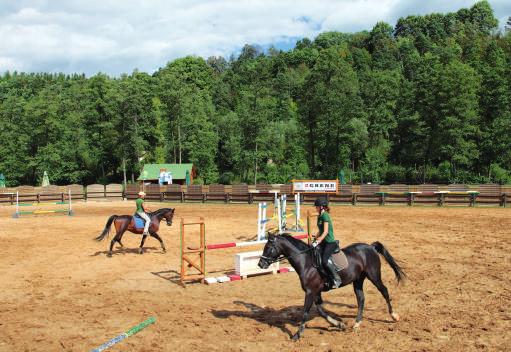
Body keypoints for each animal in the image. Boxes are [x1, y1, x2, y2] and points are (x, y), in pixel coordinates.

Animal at [258, 234, 406, 340]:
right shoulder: (316, 292)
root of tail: (370, 247)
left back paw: (394, 316)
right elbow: (321, 311)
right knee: (361, 299)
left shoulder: (310, 292)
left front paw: (297, 335)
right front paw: (339, 325)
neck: (306, 262)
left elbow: (305, 312)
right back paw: (357, 323)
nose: (260, 264)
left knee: (384, 291)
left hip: (374, 275)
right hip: (358, 280)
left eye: (268, 247)